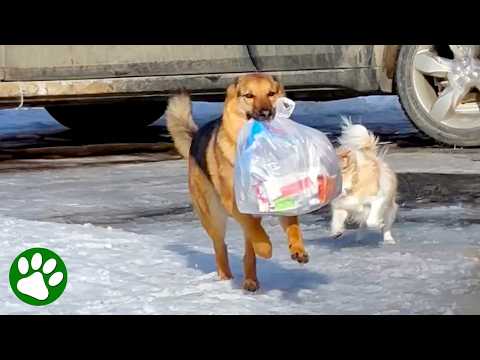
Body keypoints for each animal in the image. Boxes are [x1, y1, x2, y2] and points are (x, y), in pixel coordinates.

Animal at [165, 74, 308, 292]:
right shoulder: (234, 203)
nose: (266, 113)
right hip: (213, 215)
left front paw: (298, 249)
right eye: (249, 96)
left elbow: (292, 226)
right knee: (222, 246)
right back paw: (227, 278)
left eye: (271, 93)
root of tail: (196, 138)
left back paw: (250, 279)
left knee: (249, 248)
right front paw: (266, 248)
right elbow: (255, 233)